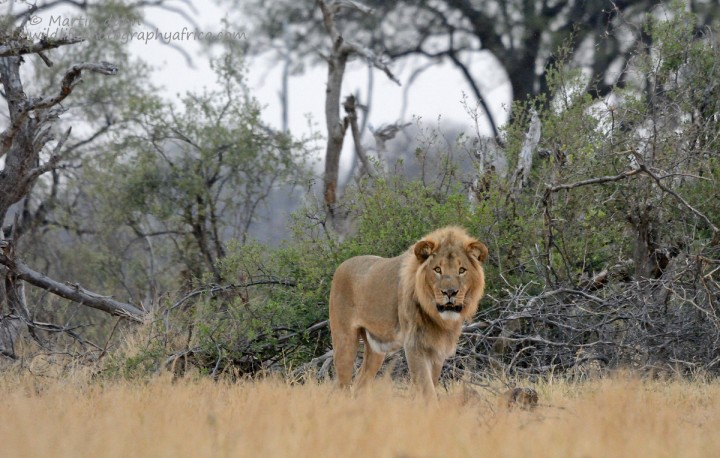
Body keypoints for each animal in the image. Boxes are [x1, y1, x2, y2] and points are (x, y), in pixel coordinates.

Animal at [328, 227, 486, 398]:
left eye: (462, 270)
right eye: (437, 269)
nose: (450, 292)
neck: (436, 315)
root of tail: (341, 265)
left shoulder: (437, 348)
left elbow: (430, 384)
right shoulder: (414, 344)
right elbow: (427, 388)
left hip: (376, 351)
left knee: (360, 383)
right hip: (344, 342)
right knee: (341, 386)